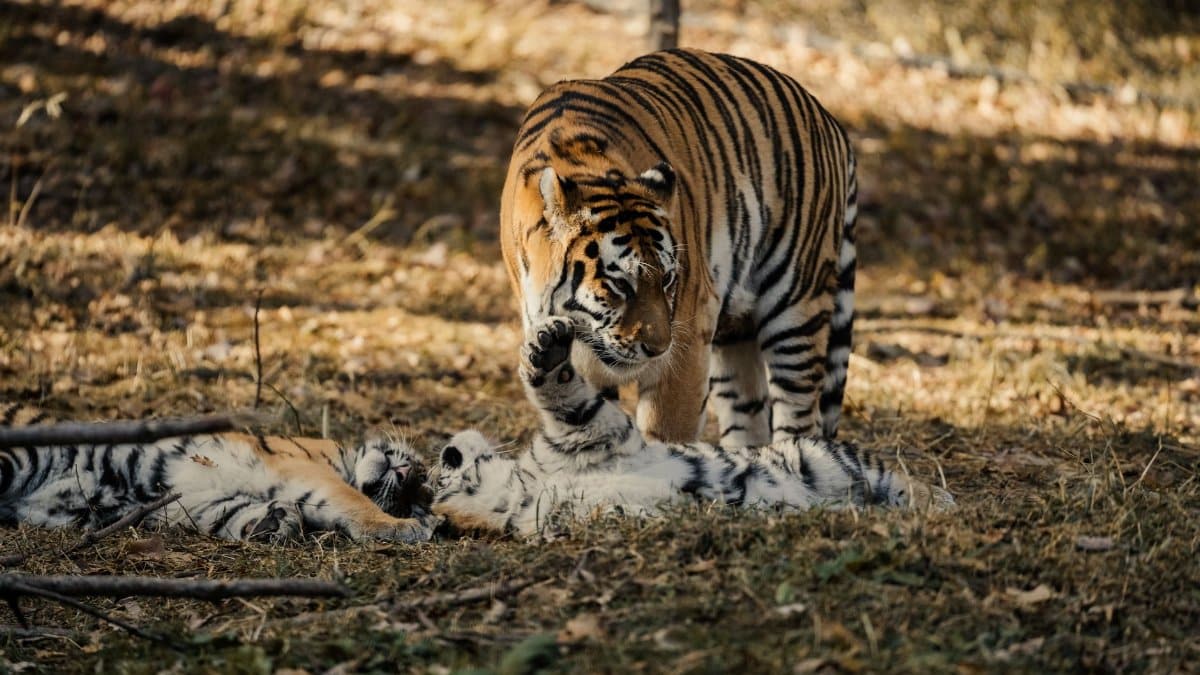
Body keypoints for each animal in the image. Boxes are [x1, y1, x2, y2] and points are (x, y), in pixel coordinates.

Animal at [0, 403, 433, 543]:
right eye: (418, 483)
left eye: (413, 494)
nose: (407, 472)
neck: (344, 460)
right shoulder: (302, 467)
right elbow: (351, 498)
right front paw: (402, 528)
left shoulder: (191, 502)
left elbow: (232, 514)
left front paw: (275, 522)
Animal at [431, 317, 953, 536]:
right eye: (432, 479)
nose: (446, 450)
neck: (521, 487)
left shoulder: (596, 433)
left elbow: (564, 392)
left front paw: (547, 347)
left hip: (817, 453)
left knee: (900, 480)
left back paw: (939, 503)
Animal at [499, 48, 858, 447]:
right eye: (620, 284)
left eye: (668, 279)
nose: (657, 349)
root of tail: (827, 117)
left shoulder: (690, 326)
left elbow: (668, 432)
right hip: (736, 330)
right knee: (748, 412)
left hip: (796, 308)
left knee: (799, 415)